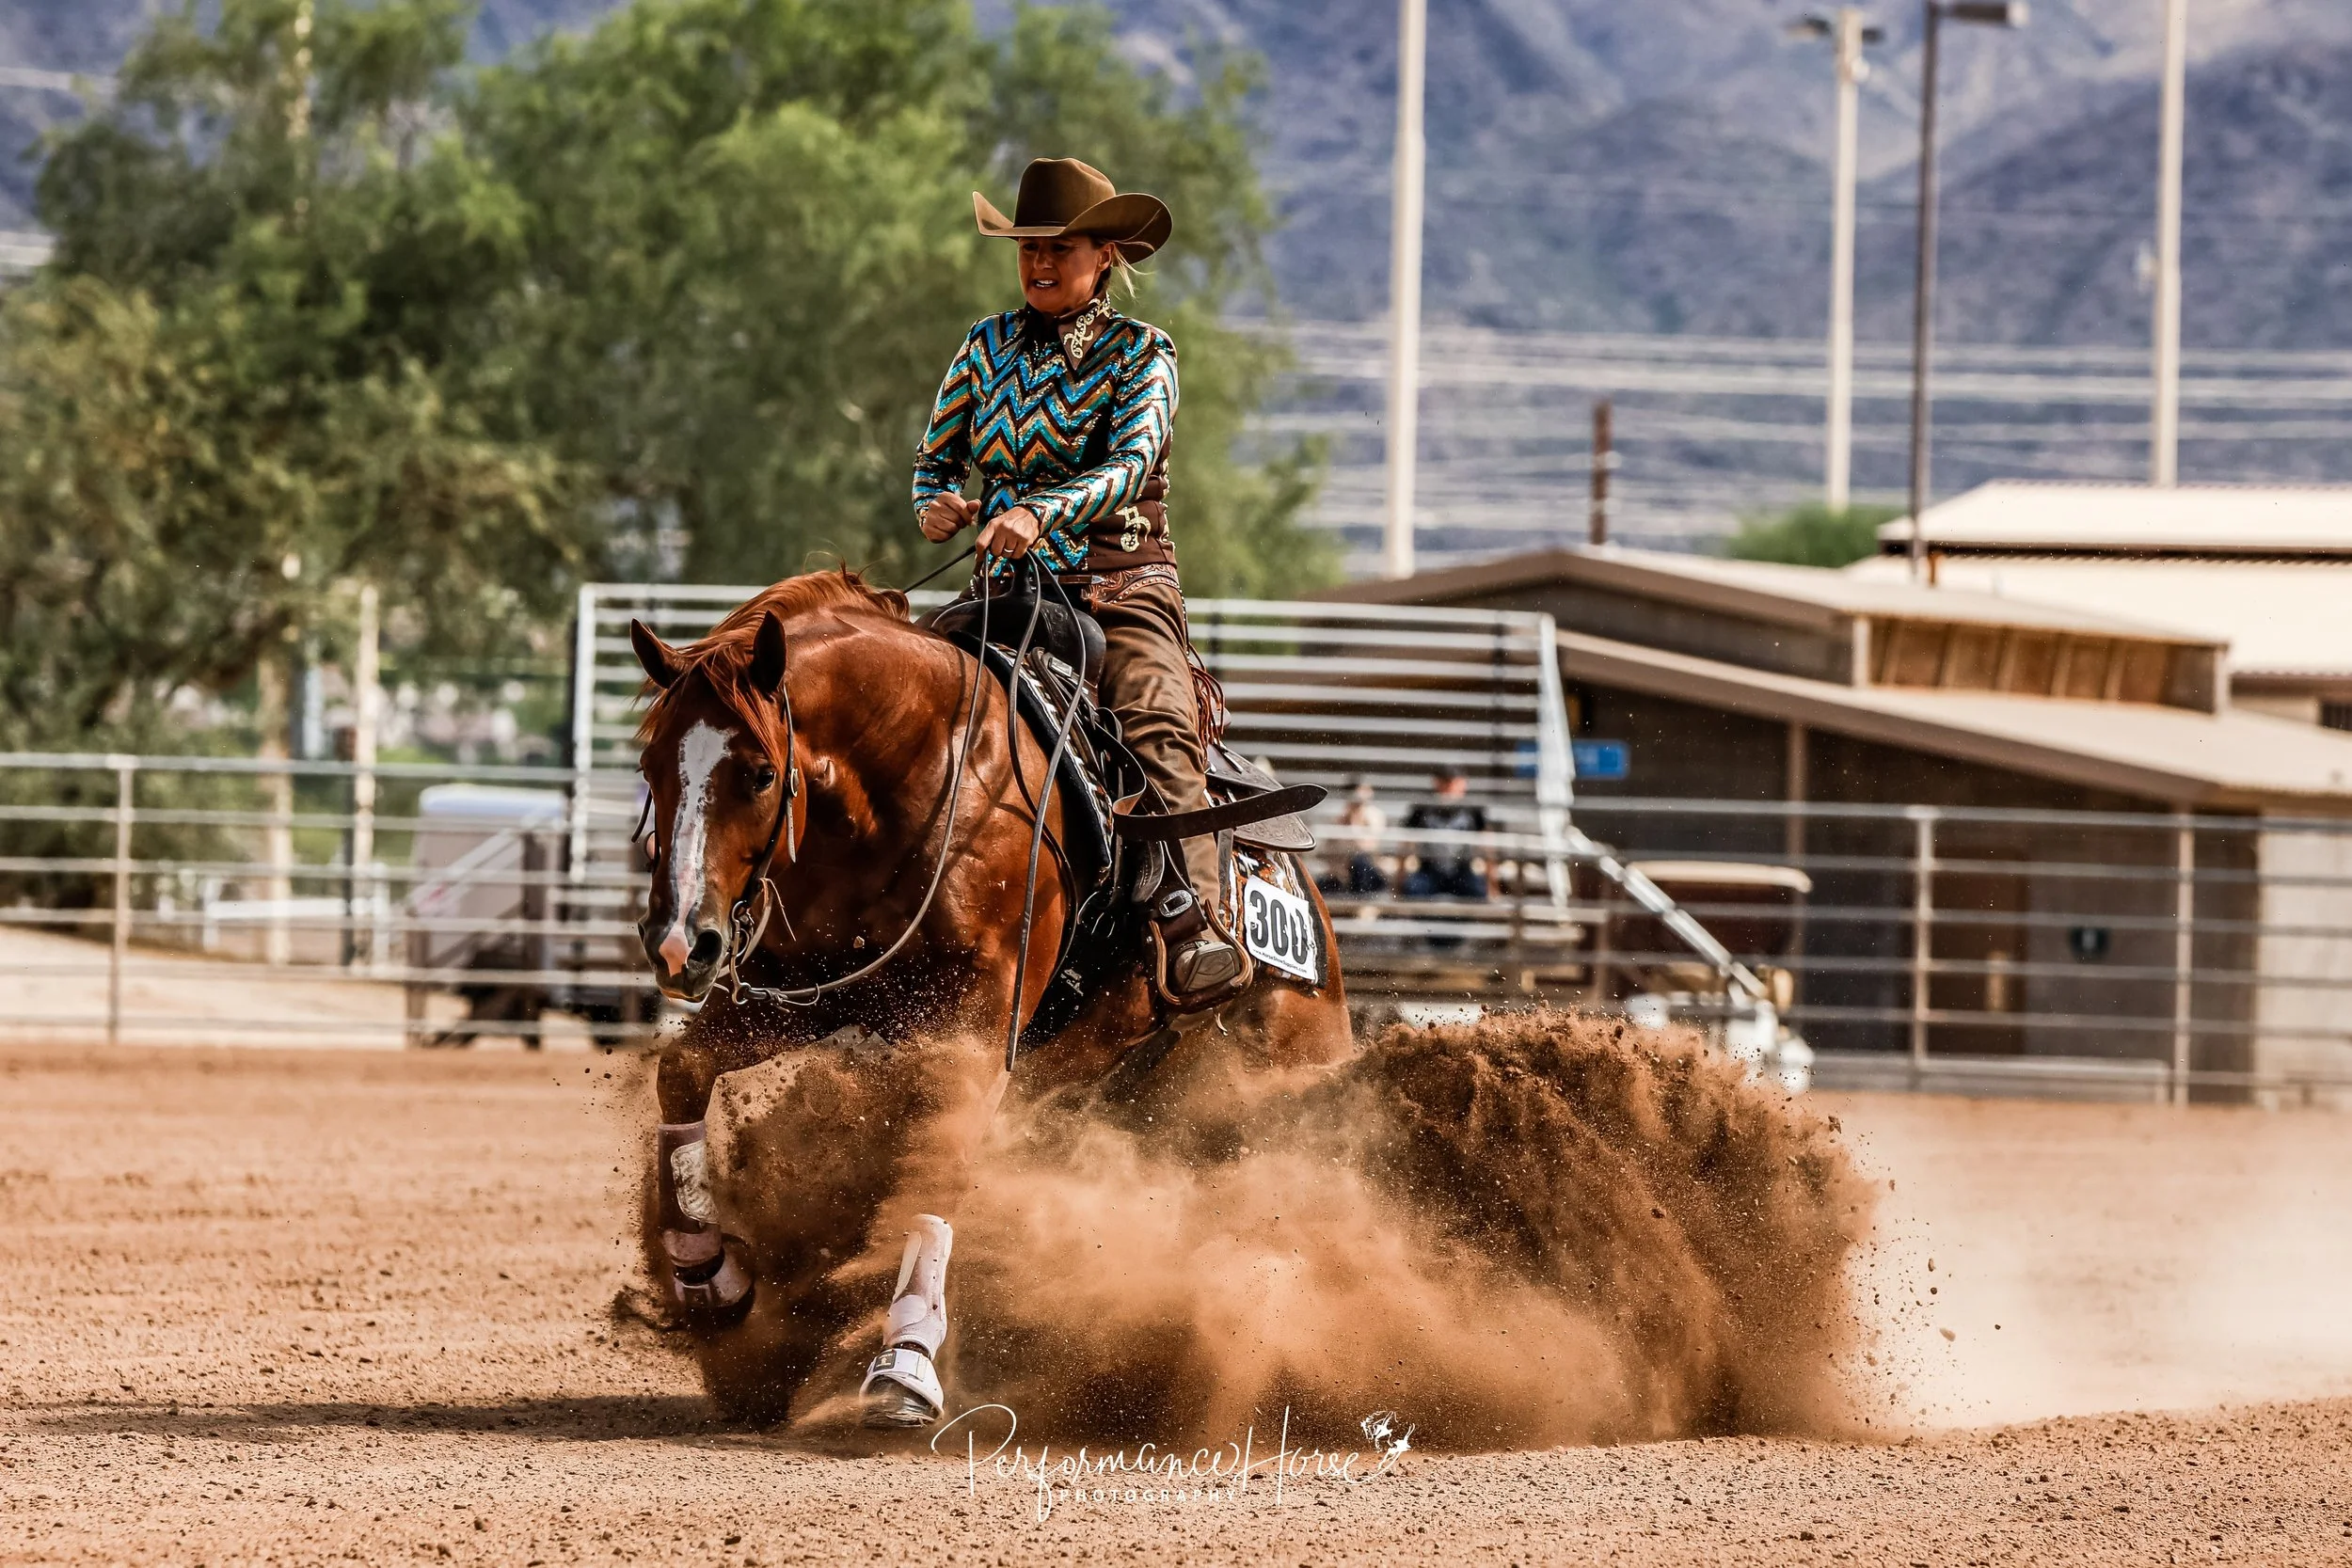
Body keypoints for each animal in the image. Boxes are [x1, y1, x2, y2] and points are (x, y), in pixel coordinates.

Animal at [626, 568, 1352, 1427]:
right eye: (650, 766)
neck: (921, 776)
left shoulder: (976, 1027)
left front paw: (906, 1360)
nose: (680, 941)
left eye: (760, 772)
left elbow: (937, 1164)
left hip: (1294, 1053)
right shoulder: (807, 998)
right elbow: (682, 1069)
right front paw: (707, 1274)